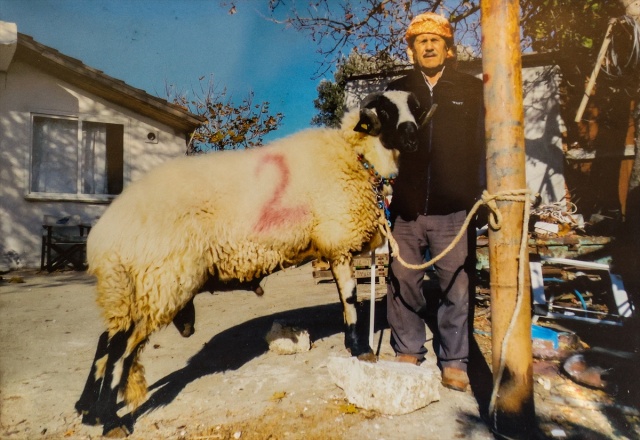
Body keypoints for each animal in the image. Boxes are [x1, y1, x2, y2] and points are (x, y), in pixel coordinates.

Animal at [75, 90, 422, 436]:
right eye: (385, 112)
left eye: (415, 107)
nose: (413, 136)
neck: (355, 155)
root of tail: (102, 239)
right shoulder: (339, 241)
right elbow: (350, 300)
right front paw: (361, 349)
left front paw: (356, 346)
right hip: (160, 281)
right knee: (121, 348)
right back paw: (110, 421)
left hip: (130, 288)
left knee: (108, 339)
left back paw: (87, 410)